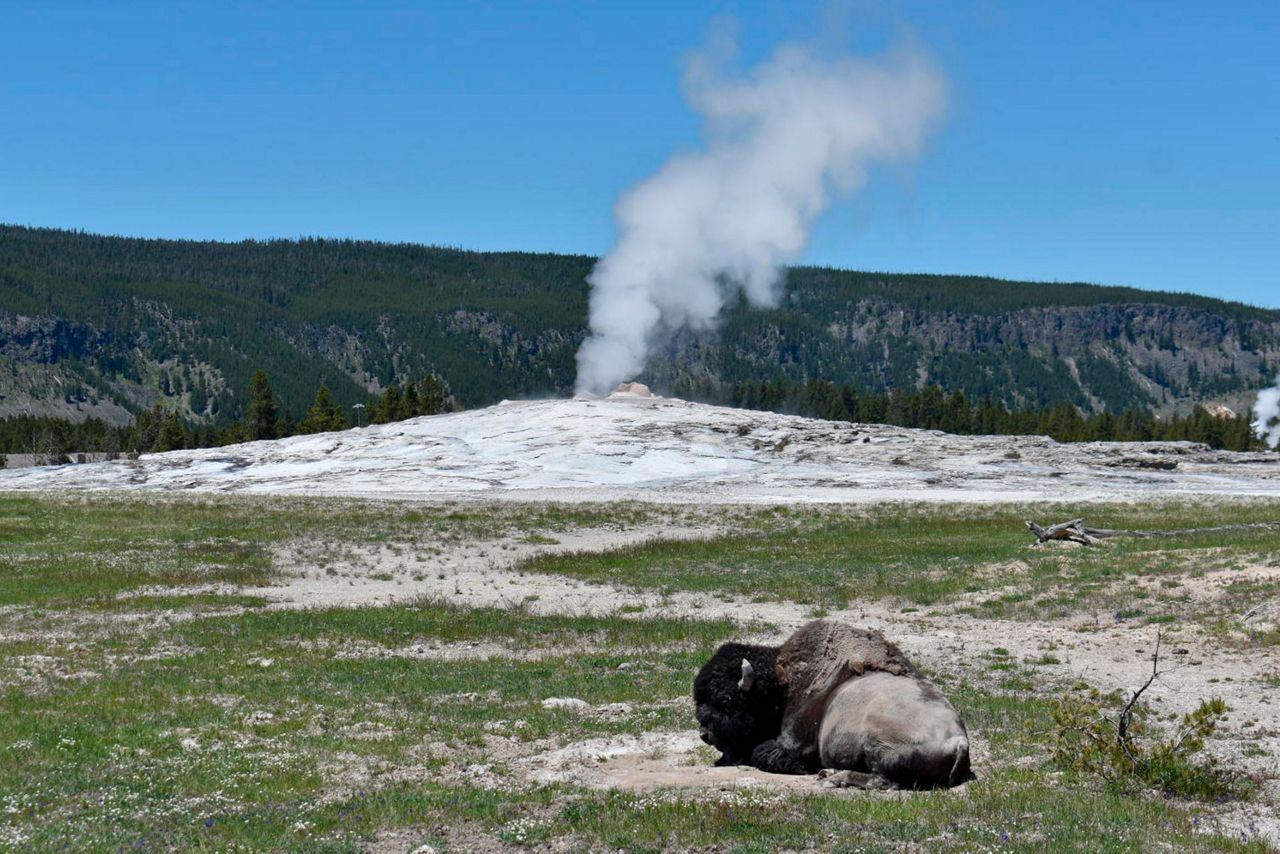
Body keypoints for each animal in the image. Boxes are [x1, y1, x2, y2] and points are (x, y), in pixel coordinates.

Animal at [696, 617, 972, 793]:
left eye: (726, 701)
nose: (705, 734)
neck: (782, 683)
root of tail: (959, 742)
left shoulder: (793, 742)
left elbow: (765, 752)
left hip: (878, 745)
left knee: (884, 781)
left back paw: (832, 777)